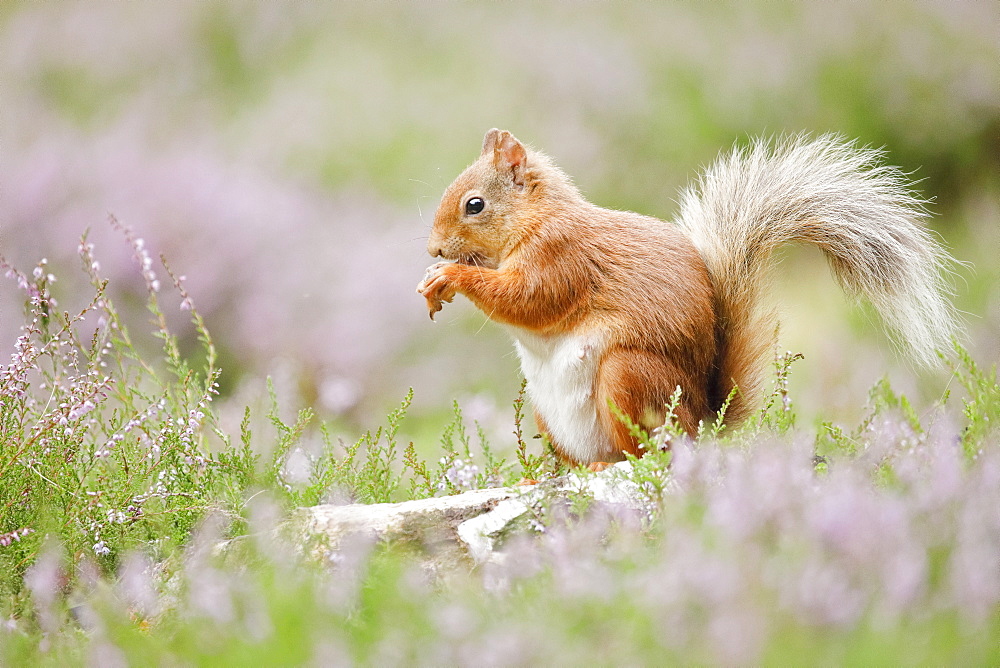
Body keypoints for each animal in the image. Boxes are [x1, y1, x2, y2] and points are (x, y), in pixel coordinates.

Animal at [416, 129, 960, 464]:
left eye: (475, 205)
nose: (433, 248)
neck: (536, 218)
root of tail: (704, 424)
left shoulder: (562, 258)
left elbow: (528, 300)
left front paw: (449, 277)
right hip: (544, 414)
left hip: (628, 377)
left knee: (643, 455)